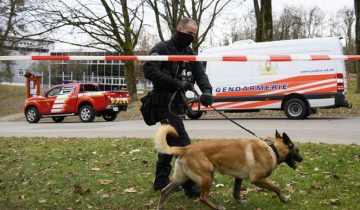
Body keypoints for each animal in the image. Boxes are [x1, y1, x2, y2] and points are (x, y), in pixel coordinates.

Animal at [153, 124, 302, 210]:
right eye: (297, 150)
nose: (302, 159)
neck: (272, 147)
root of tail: (184, 149)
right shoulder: (257, 178)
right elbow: (276, 187)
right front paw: (283, 198)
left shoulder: (239, 178)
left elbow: (236, 192)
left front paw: (240, 202)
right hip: (208, 176)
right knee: (203, 197)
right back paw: (217, 207)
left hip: (181, 178)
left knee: (164, 191)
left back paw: (160, 206)